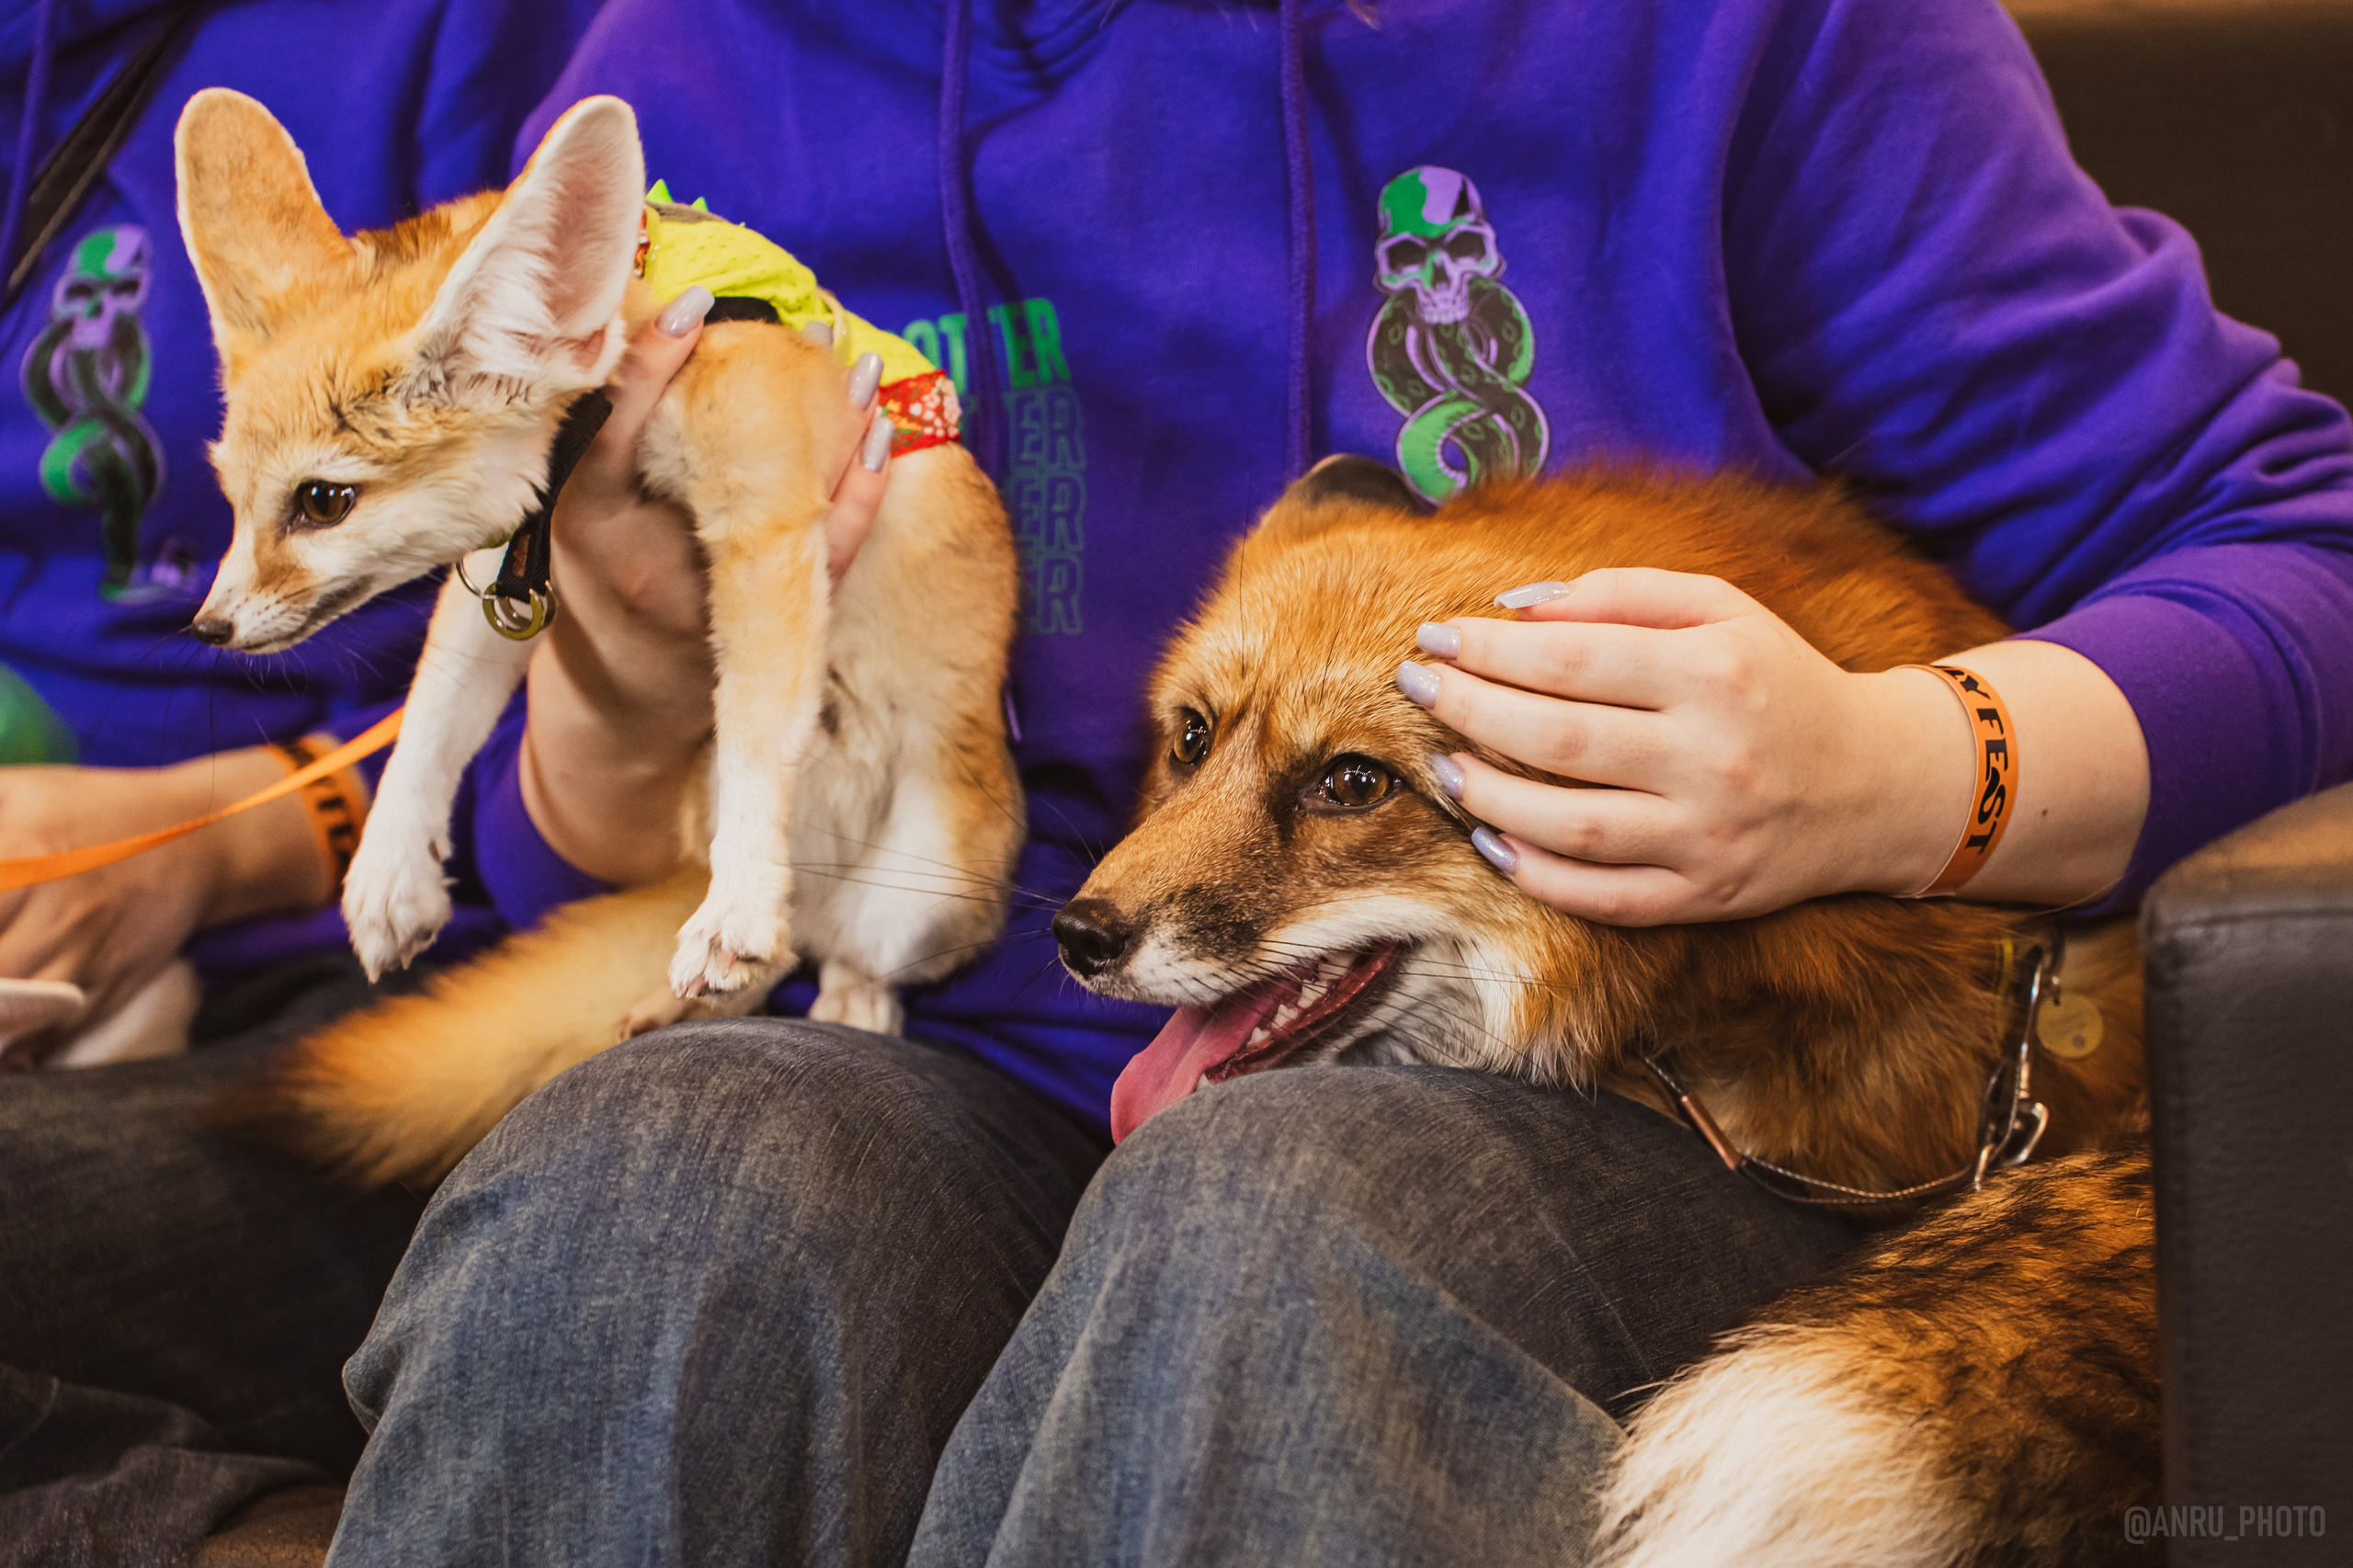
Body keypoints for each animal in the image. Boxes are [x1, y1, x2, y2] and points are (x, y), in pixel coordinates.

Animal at [175, 90, 1021, 1183]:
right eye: (233, 500)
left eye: (323, 502)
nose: (209, 626)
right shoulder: (509, 568)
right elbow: (434, 715)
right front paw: (390, 869)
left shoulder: (767, 529)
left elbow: (757, 730)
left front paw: (739, 898)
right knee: (792, 947)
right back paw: (677, 1000)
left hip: (936, 888)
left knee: (840, 953)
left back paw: (838, 993)